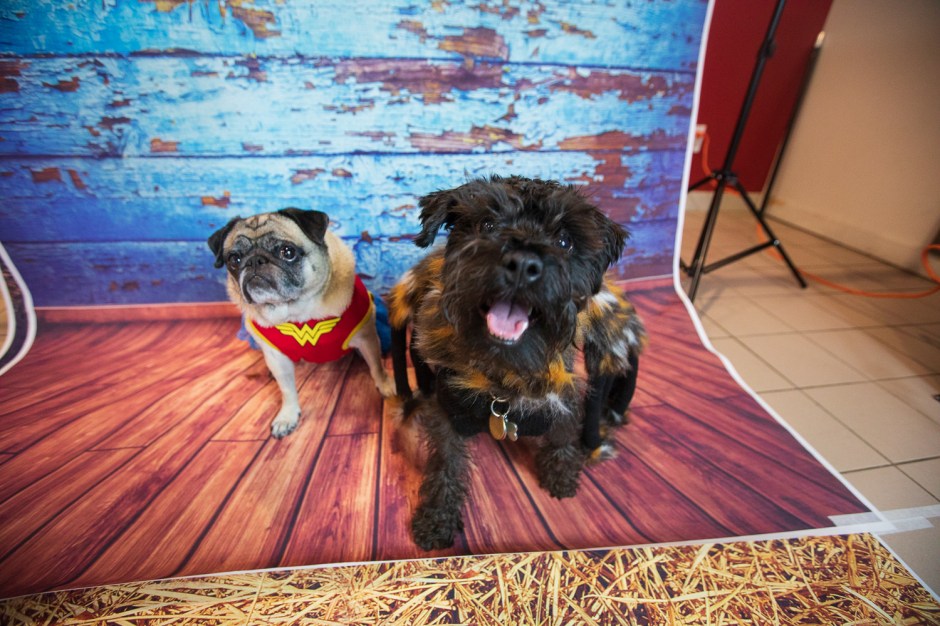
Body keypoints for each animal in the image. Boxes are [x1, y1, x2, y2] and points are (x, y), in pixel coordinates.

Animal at [208, 207, 395, 438]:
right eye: (234, 259)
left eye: (287, 252)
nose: (254, 261)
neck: (297, 313)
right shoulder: (276, 357)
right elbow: (287, 389)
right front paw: (287, 416)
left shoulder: (365, 338)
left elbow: (376, 366)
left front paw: (386, 386)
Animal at [388, 176, 645, 550]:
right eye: (487, 224)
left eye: (565, 240)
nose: (523, 264)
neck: (504, 381)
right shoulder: (447, 414)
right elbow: (446, 464)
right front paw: (437, 517)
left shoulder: (567, 402)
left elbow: (562, 436)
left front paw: (560, 474)